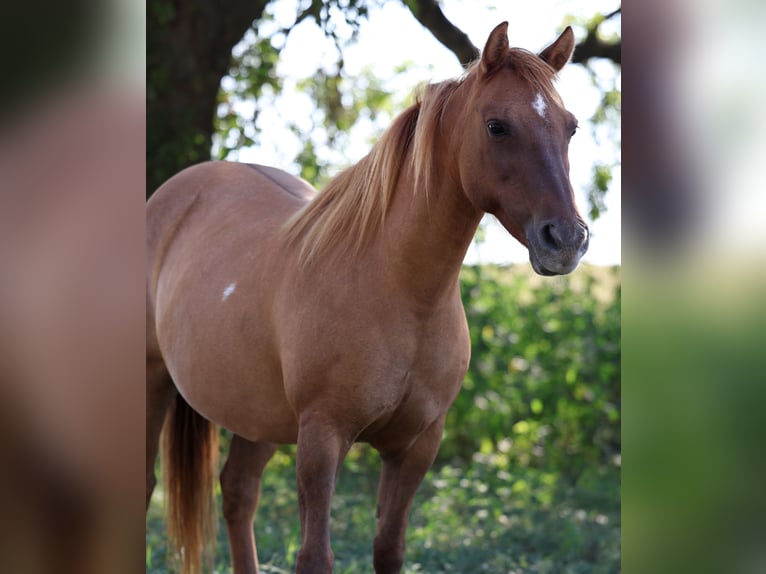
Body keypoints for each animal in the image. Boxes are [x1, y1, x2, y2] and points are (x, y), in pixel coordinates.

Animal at [146, 22, 589, 574]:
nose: (566, 240)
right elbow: (315, 555)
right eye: (497, 126)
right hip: (154, 383)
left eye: (571, 128)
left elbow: (389, 548)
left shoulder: (416, 446)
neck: (398, 292)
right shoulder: (322, 439)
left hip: (256, 415)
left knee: (239, 493)